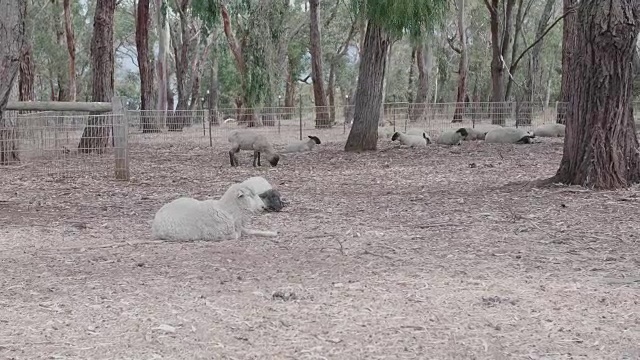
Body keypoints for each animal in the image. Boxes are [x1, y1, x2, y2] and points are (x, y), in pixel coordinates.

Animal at [152, 181, 280, 240]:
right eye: (249, 195)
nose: (263, 207)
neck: (226, 209)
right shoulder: (226, 234)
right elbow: (239, 234)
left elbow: (250, 230)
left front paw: (272, 233)